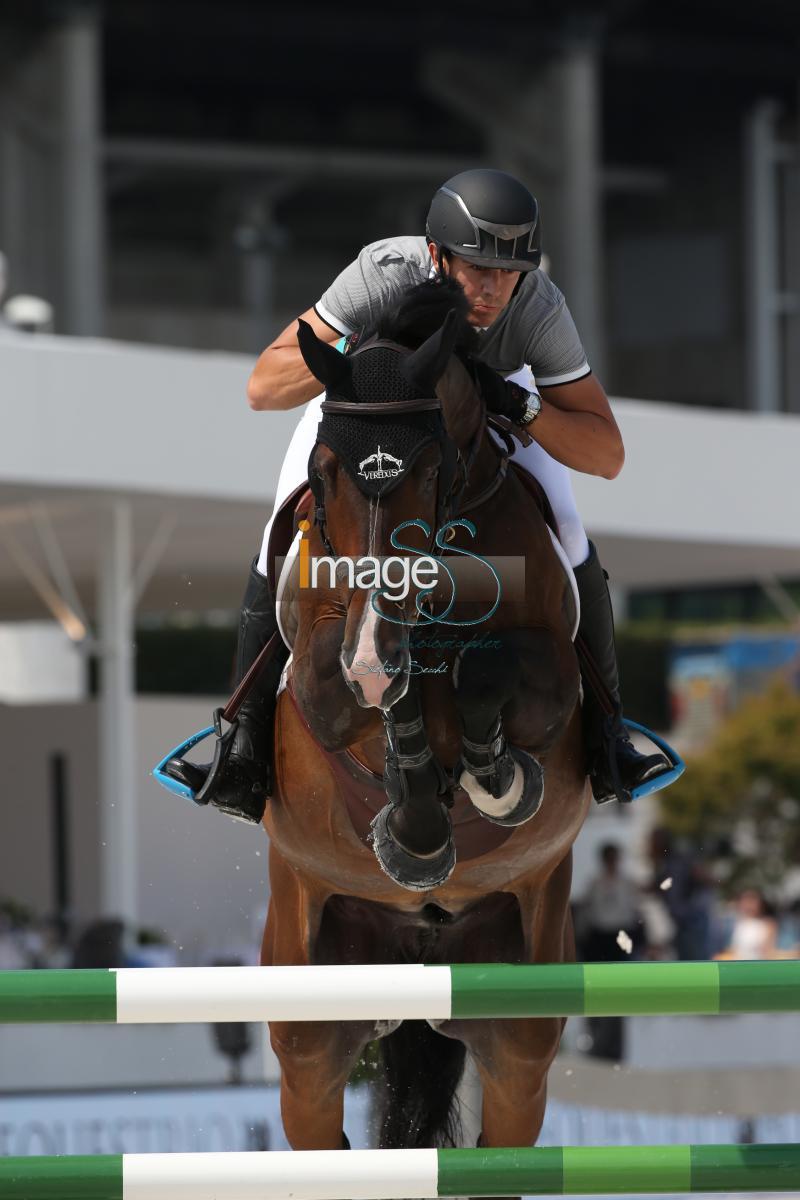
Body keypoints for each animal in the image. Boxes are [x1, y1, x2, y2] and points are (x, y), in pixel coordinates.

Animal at [262, 276, 587, 1156]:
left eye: (434, 466)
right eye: (324, 472)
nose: (374, 654)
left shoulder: (554, 682)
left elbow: (485, 670)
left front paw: (495, 783)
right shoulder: (321, 676)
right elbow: (370, 694)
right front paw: (415, 831)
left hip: (516, 1021)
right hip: (310, 1013)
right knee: (320, 1113)